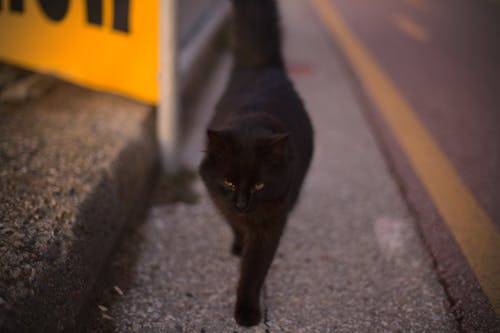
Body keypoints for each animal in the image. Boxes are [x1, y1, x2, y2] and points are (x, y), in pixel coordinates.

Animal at [198, 0, 312, 326]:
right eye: (229, 182)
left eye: (260, 185)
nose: (241, 203)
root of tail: (262, 66)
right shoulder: (219, 199)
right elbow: (235, 226)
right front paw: (238, 246)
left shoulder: (270, 224)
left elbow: (253, 271)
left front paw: (247, 313)